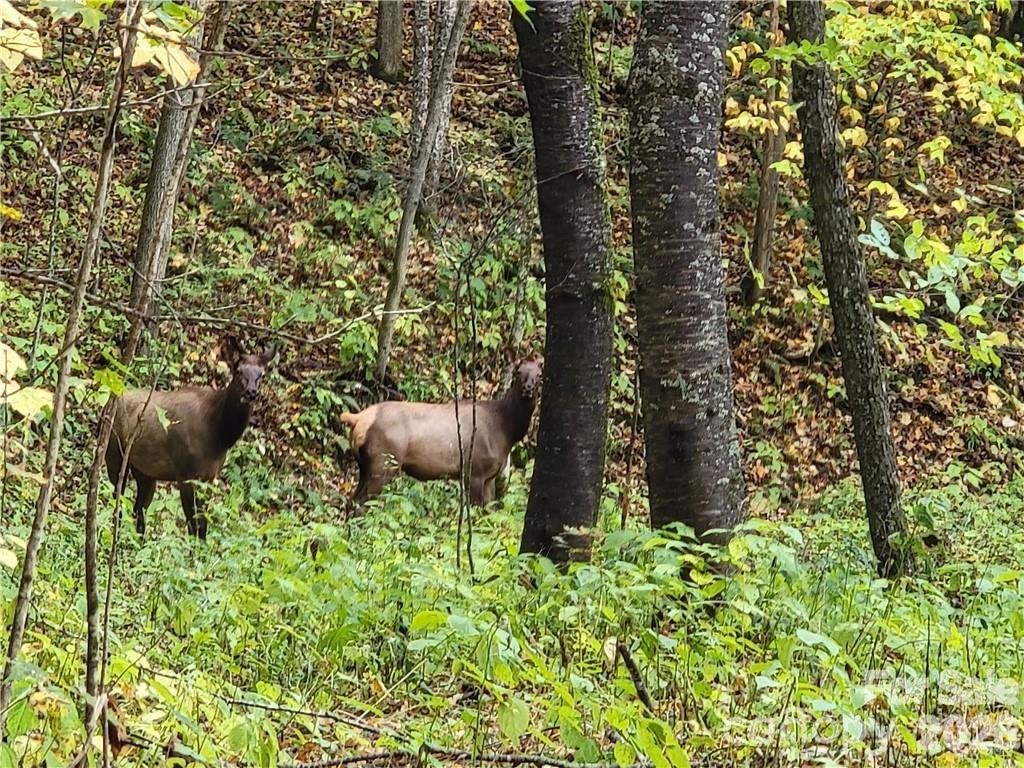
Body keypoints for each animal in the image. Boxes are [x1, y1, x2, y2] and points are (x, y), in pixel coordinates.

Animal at [105, 337, 276, 539]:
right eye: (238, 370)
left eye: (262, 374)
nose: (251, 392)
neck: (220, 435)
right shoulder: (186, 474)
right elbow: (195, 526)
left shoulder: (209, 477)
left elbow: (202, 526)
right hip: (113, 453)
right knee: (117, 502)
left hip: (145, 471)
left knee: (138, 509)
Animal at [338, 360, 542, 506]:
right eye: (518, 372)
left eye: (539, 375)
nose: (528, 388)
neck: (506, 432)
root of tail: (358, 419)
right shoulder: (475, 470)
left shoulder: (490, 476)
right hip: (384, 463)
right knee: (361, 504)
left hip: (365, 466)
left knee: (351, 502)